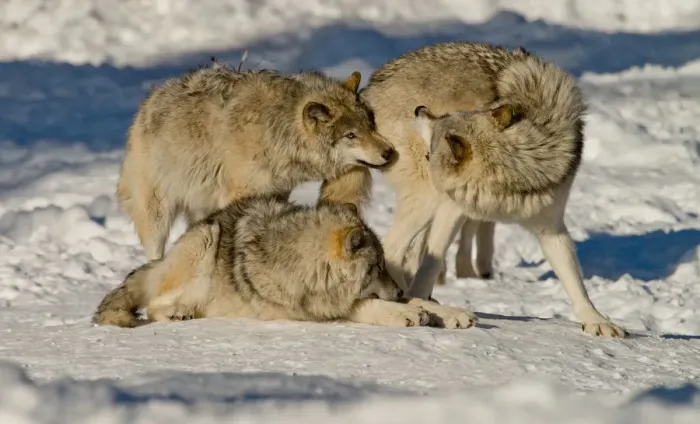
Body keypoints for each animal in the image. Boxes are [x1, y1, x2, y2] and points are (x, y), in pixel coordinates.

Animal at [93, 196, 477, 329]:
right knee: (155, 304)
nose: (396, 292)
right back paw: (177, 313)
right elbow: (366, 306)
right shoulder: (310, 309)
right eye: (377, 268)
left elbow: (419, 301)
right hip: (204, 244)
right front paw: (404, 314)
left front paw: (449, 312)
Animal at [117, 64, 394, 262]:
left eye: (370, 125)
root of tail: (149, 101)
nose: (389, 152)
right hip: (157, 214)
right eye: (351, 135)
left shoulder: (276, 196)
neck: (275, 131)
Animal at [326, 42, 626, 337]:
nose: (420, 109)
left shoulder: (550, 226)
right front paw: (426, 305)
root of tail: (370, 87)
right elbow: (431, 264)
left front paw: (597, 321)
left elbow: (574, 281)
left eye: (445, 120)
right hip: (428, 200)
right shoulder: (452, 209)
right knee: (393, 249)